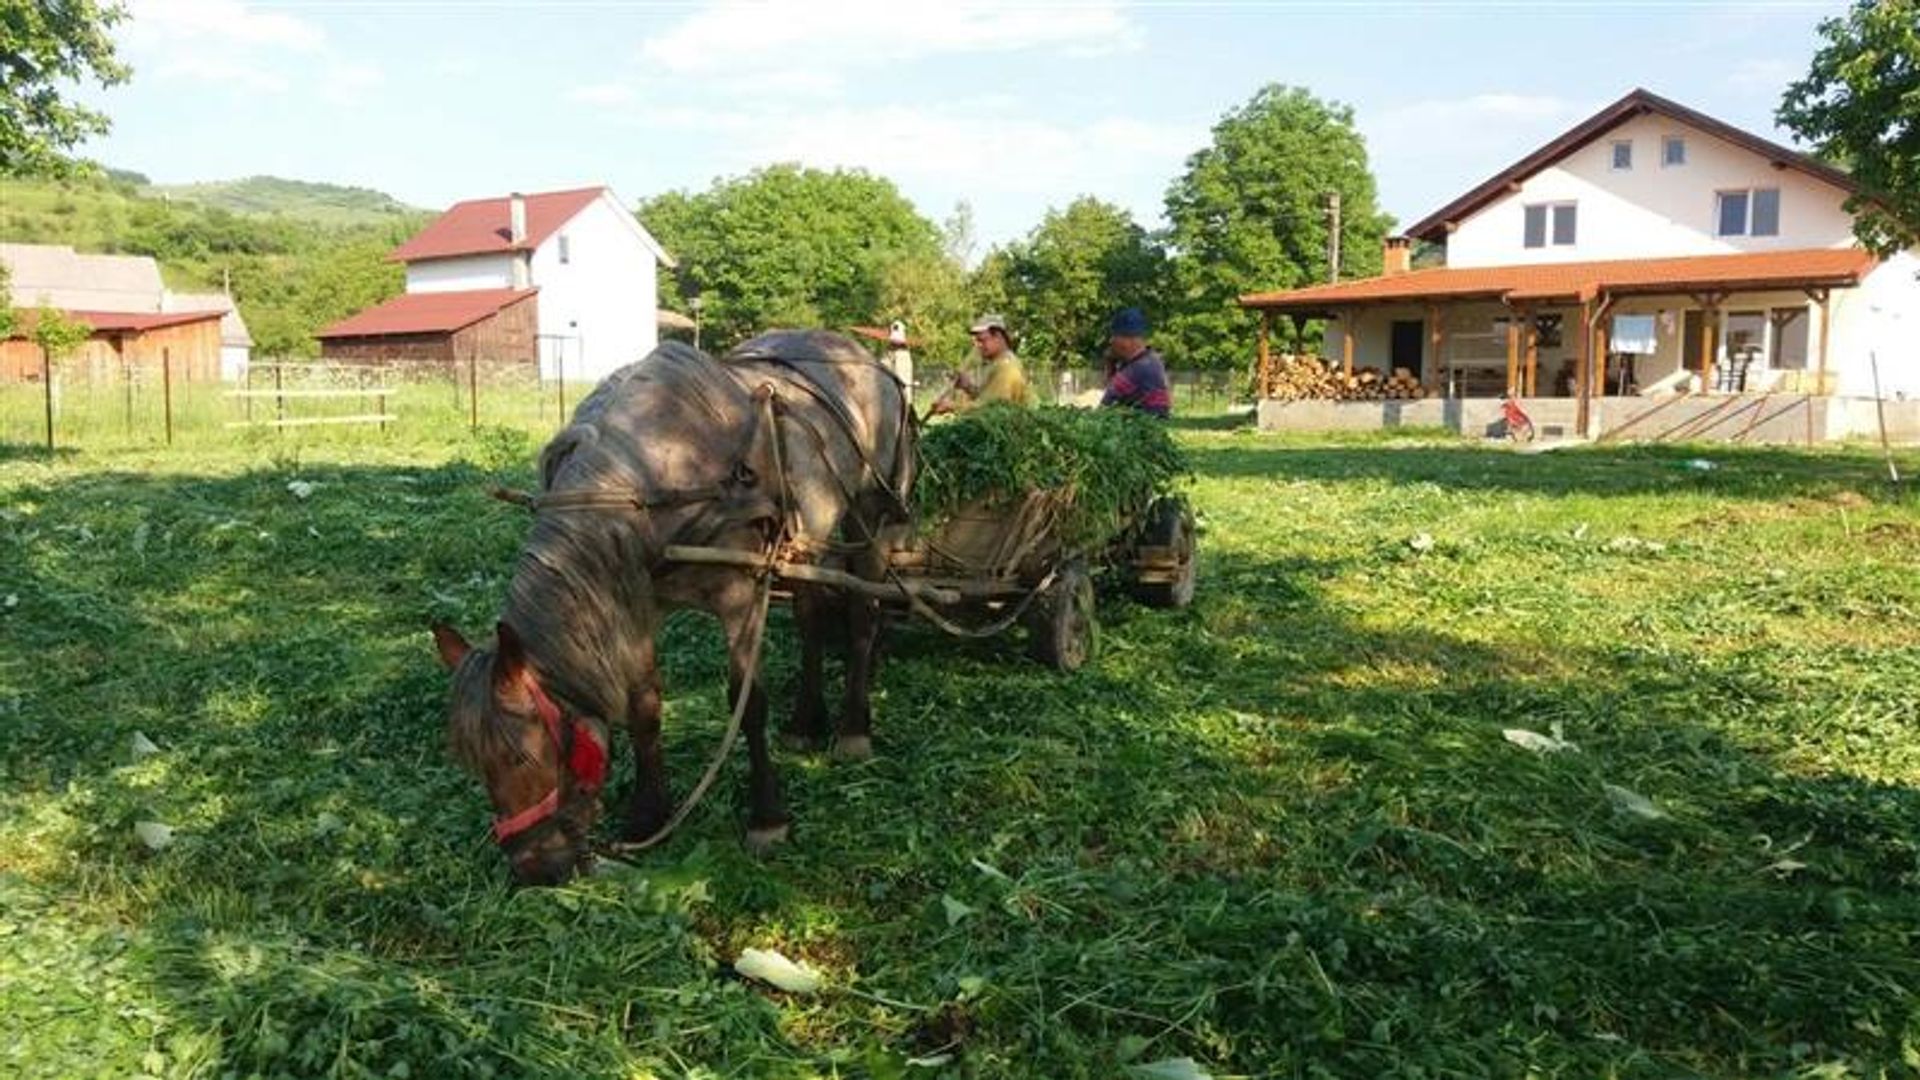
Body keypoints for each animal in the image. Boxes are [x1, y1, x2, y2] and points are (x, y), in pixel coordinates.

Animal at [435, 330, 913, 883]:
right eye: (472, 763)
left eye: (522, 758)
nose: (536, 870)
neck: (655, 475)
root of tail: (866, 358)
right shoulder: (638, 599)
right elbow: (643, 707)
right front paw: (649, 815)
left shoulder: (740, 597)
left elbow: (747, 704)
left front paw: (767, 817)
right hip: (805, 542)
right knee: (810, 618)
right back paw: (805, 722)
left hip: (870, 513)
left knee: (863, 616)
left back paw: (854, 726)